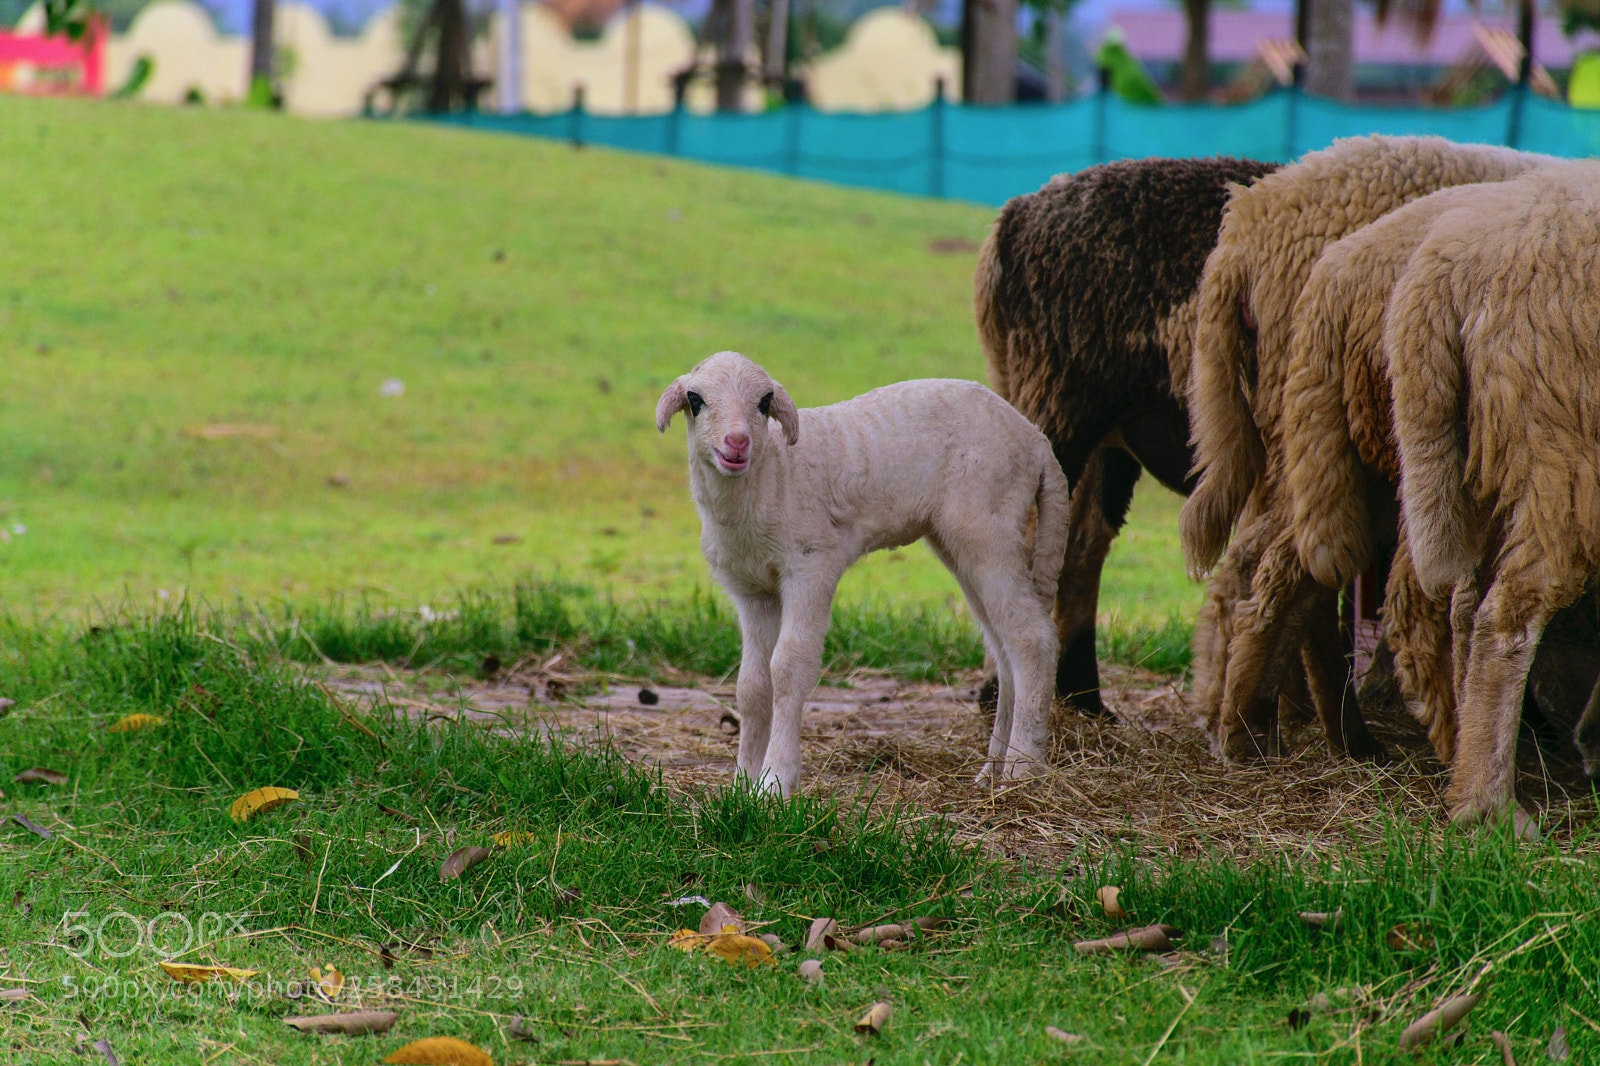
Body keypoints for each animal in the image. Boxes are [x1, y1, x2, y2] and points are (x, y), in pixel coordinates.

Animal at [655, 351, 1070, 796]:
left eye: (764, 402)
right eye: (695, 399)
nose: (737, 442)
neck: (773, 474)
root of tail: (1037, 442)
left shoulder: (811, 565)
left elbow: (788, 668)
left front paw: (776, 782)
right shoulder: (751, 590)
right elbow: (752, 686)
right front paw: (743, 783)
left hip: (989, 525)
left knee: (1032, 638)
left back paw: (1022, 772)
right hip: (962, 541)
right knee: (1004, 648)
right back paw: (990, 771)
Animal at [977, 155, 1278, 720]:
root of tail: (1017, 215)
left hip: (1107, 436)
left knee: (1080, 543)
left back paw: (1084, 697)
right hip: (1060, 398)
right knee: (1031, 538)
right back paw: (1005, 690)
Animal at [1388, 161, 1600, 834]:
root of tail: (1445, 265)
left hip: (1477, 453)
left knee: (1462, 606)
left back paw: (1462, 769)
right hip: (1562, 449)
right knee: (1505, 617)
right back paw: (1490, 808)